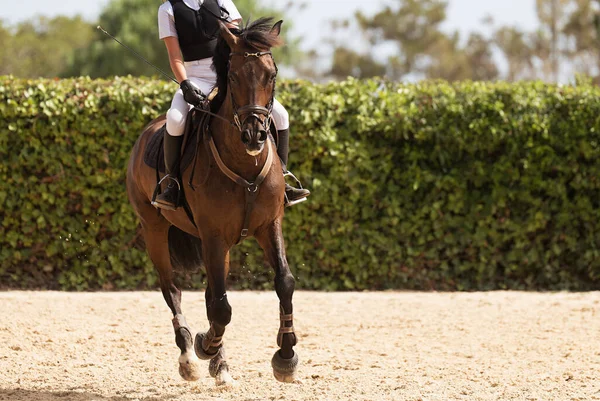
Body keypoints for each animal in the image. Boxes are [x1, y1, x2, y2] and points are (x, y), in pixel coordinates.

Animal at [125, 18, 298, 384]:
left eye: (271, 74)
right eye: (232, 77)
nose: (255, 135)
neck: (244, 163)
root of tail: (148, 131)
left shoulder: (268, 224)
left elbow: (284, 283)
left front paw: (286, 356)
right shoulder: (214, 235)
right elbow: (221, 307)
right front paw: (206, 346)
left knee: (208, 295)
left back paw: (219, 363)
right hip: (155, 230)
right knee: (172, 290)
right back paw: (190, 357)